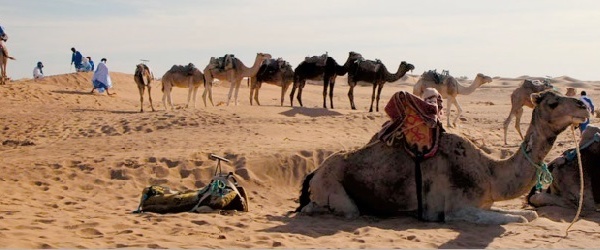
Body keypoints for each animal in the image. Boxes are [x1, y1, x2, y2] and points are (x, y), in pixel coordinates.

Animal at [298, 90, 588, 225]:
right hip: (334, 190)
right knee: (337, 209)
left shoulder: (484, 203)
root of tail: (314, 171)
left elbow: (529, 215)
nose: (584, 106)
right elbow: (524, 218)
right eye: (552, 102)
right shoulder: (457, 210)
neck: (490, 174)